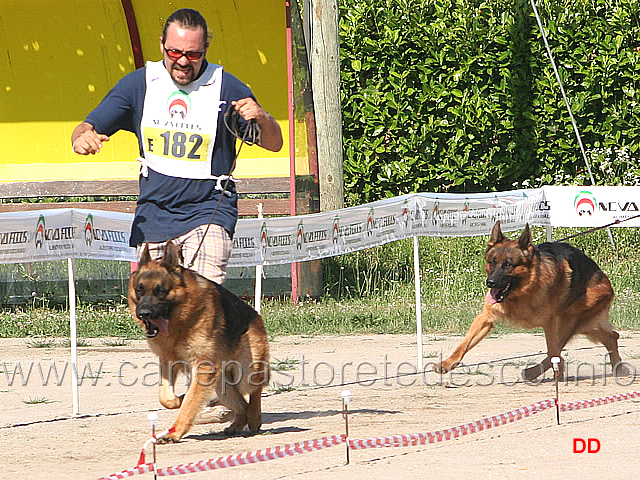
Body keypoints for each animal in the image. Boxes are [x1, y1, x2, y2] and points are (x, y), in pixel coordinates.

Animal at [129, 242, 268, 444]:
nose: (143, 314)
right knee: (241, 404)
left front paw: (174, 432)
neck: (180, 320)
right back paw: (236, 423)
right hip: (221, 384)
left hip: (247, 371)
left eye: (161, 291)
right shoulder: (168, 362)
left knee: (255, 389)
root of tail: (256, 315)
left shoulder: (203, 368)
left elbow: (190, 404)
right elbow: (166, 398)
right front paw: (180, 399)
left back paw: (255, 416)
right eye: (140, 290)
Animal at [432, 219, 628, 380]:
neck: (521, 292)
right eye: (492, 262)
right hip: (585, 326)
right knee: (612, 336)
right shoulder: (485, 318)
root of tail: (604, 278)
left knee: (559, 350)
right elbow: (464, 344)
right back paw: (617, 368)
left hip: (569, 322)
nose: (490, 283)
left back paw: (535, 372)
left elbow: (553, 351)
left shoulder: (550, 324)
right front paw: (447, 363)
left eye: (508, 265)